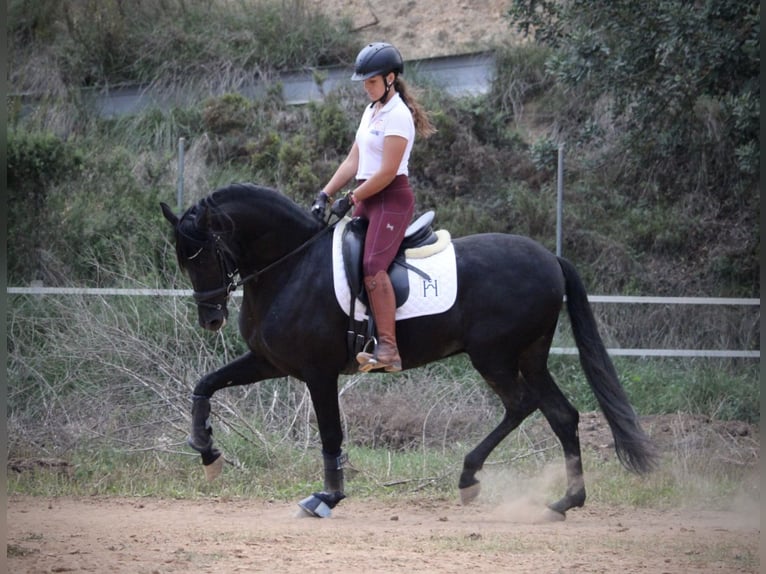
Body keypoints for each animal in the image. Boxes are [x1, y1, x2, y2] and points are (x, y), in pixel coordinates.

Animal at [162, 183, 660, 520]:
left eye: (205, 254)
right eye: (185, 260)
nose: (211, 319)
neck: (292, 267)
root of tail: (549, 258)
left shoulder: (319, 373)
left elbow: (331, 435)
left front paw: (327, 497)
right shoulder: (269, 362)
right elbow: (205, 385)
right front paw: (207, 451)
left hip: (495, 357)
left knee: (522, 405)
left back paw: (470, 478)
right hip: (529, 357)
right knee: (561, 415)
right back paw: (565, 501)